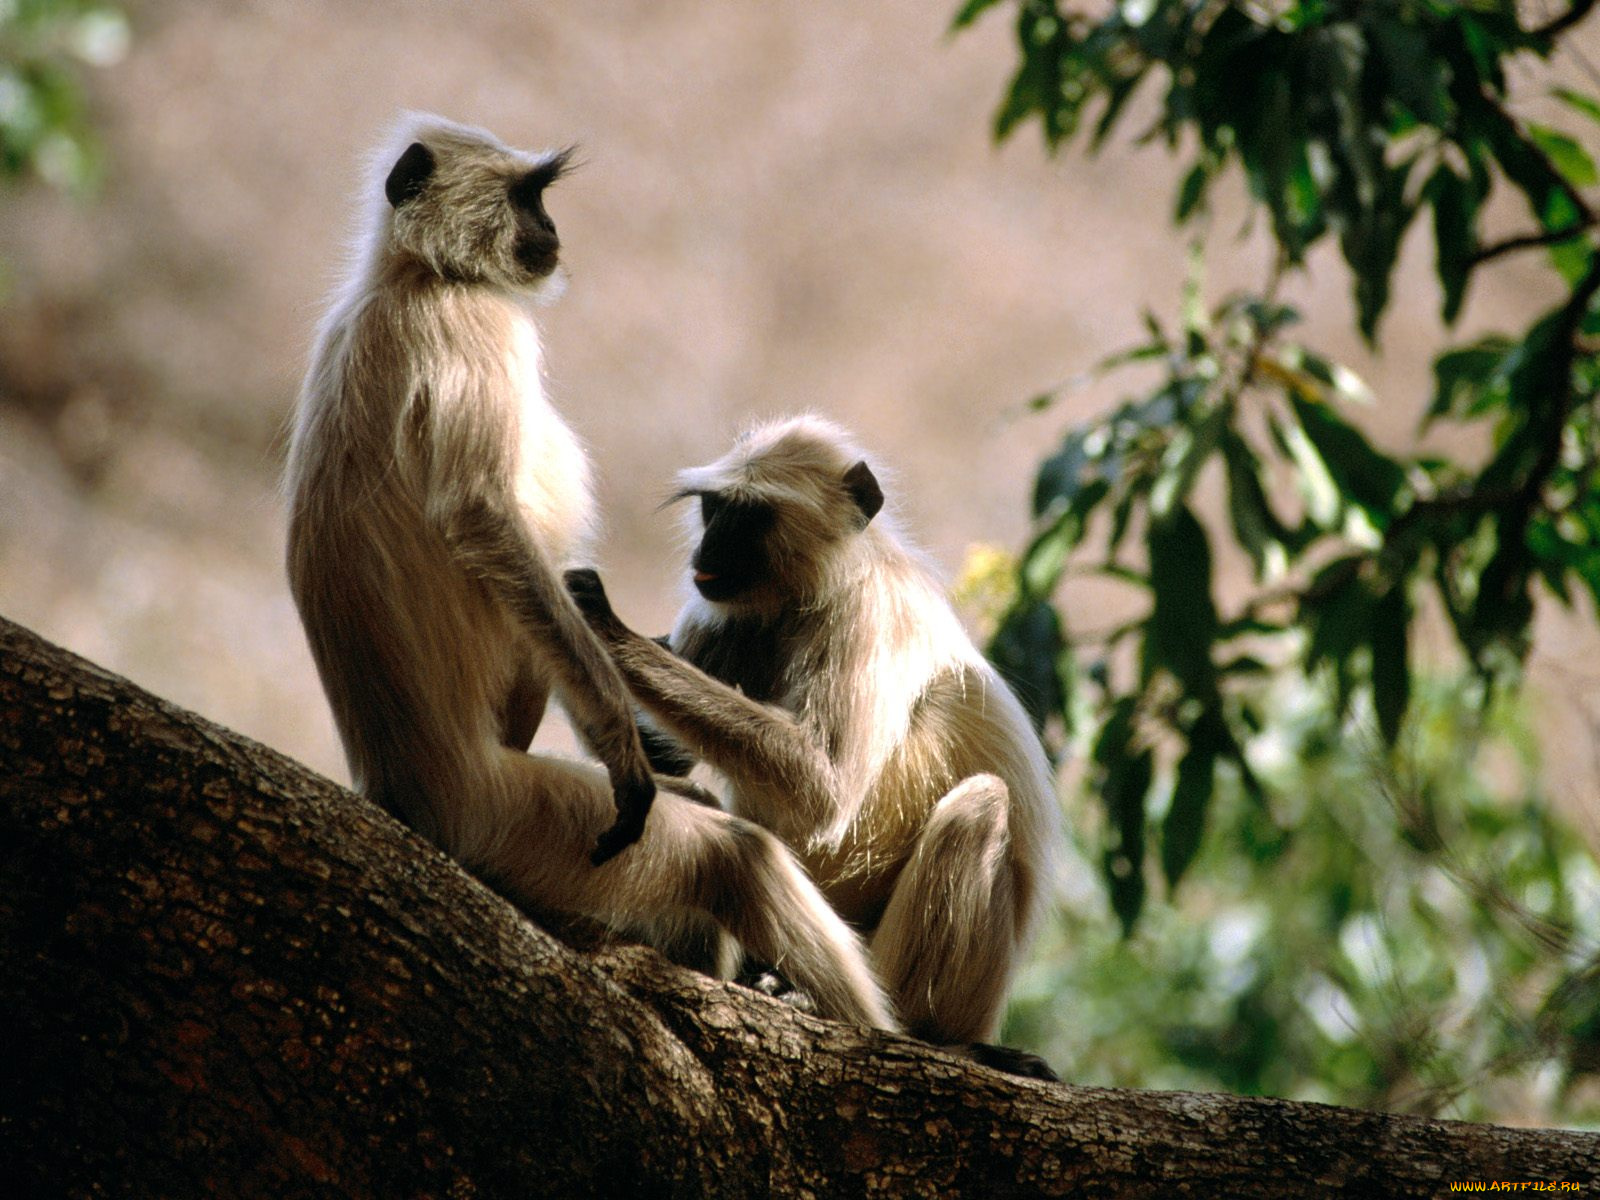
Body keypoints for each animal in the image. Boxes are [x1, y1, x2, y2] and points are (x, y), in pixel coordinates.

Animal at [281, 115, 896, 1036]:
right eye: (528, 195)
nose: (552, 230)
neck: (412, 280)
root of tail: (402, 796)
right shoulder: (471, 325)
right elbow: (480, 518)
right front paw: (621, 745)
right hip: (515, 819)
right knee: (734, 858)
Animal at [563, 416, 1062, 1068]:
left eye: (748, 518)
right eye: (714, 509)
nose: (709, 548)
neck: (810, 594)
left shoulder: (868, 613)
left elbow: (822, 790)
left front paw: (604, 626)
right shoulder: (724, 615)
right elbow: (661, 759)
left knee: (980, 806)